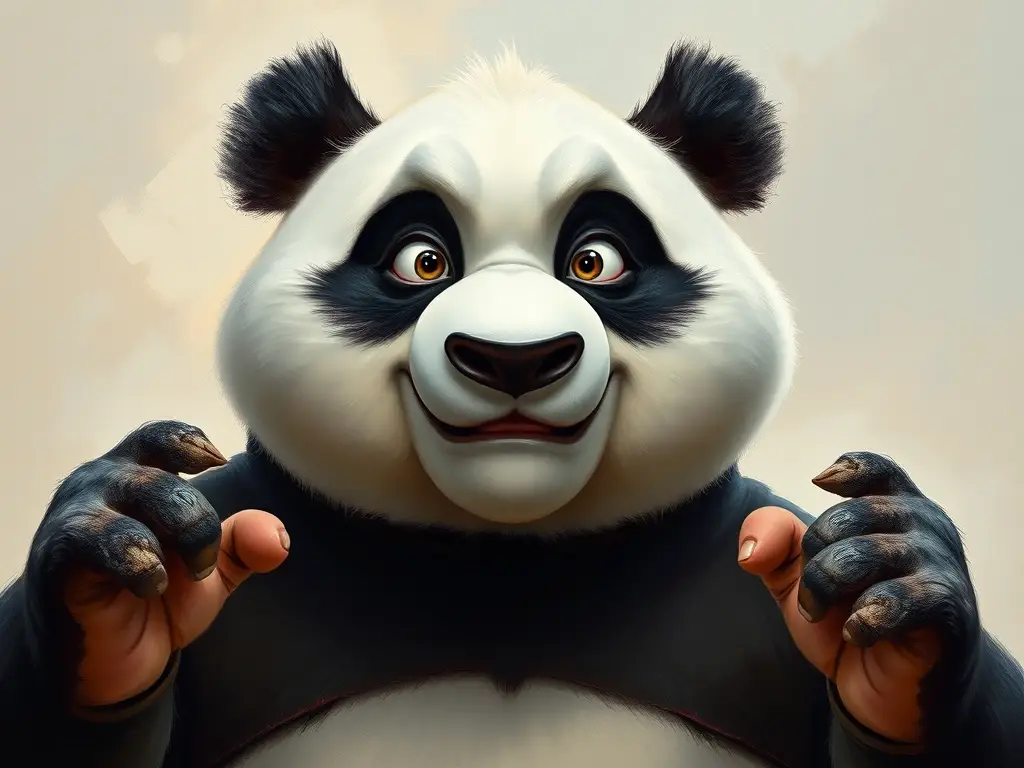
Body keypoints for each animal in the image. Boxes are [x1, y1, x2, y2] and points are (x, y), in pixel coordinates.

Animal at [1, 37, 1022, 768]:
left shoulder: (744, 568)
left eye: (596, 260)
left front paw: (892, 587)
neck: (504, 571)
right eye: (421, 259)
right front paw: (122, 558)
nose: (513, 358)